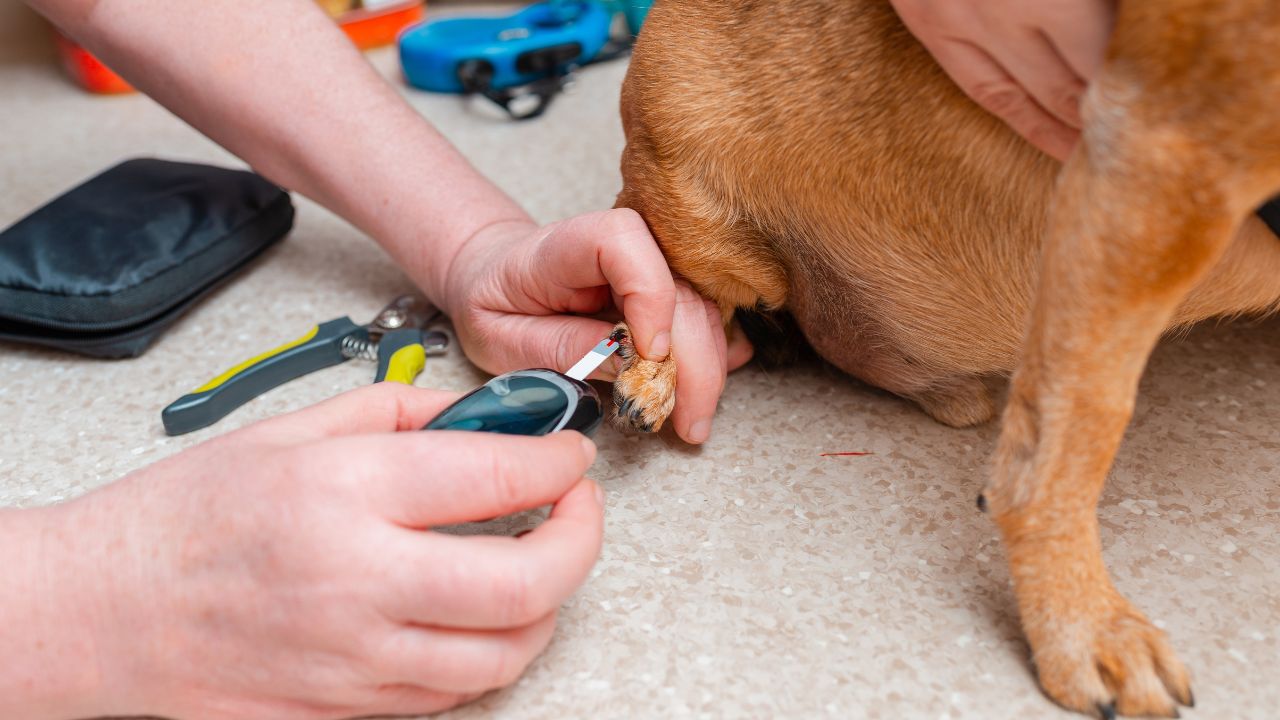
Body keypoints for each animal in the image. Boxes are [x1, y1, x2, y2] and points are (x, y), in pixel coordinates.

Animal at [606, 2, 1280, 712]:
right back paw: (654, 370)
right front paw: (1086, 625)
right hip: (708, 225)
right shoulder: (1149, 166)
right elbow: (1071, 444)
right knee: (661, 260)